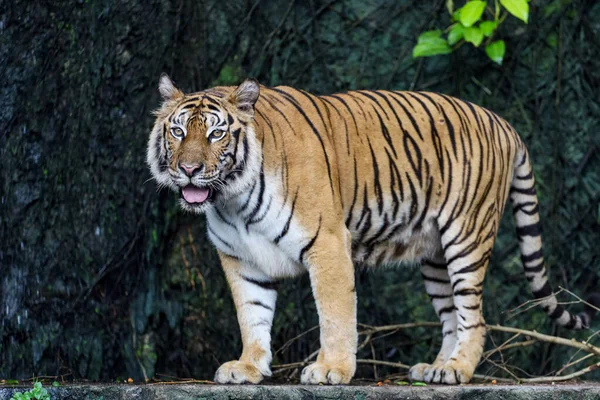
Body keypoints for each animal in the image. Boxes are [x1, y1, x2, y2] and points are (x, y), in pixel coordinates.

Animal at [148, 74, 596, 384]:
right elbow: (252, 314)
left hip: (466, 238)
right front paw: (248, 366)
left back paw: (458, 370)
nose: (189, 169)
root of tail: (503, 122)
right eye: (178, 131)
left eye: (216, 133)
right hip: (436, 258)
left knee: (475, 316)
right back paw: (437, 368)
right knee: (452, 315)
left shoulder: (327, 242)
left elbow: (335, 314)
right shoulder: (240, 259)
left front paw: (331, 369)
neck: (232, 200)